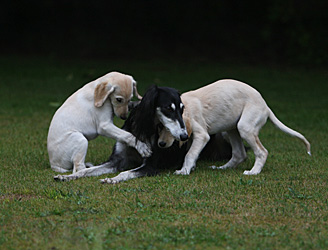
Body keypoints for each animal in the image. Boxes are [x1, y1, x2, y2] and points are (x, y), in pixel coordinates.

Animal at [53, 85, 232, 183]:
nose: (184, 137)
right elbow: (86, 171)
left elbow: (126, 172)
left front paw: (113, 179)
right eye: (168, 108)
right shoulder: (117, 160)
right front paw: (67, 177)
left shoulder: (150, 166)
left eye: (182, 109)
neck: (144, 129)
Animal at [163, 79, 312, 175]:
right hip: (230, 129)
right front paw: (190, 167)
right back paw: (222, 168)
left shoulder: (201, 134)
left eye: (168, 128)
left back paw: (253, 172)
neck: (184, 107)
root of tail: (266, 107)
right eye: (160, 126)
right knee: (239, 154)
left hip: (245, 127)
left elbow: (190, 154)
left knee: (262, 152)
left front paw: (183, 171)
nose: (161, 144)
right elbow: (191, 152)